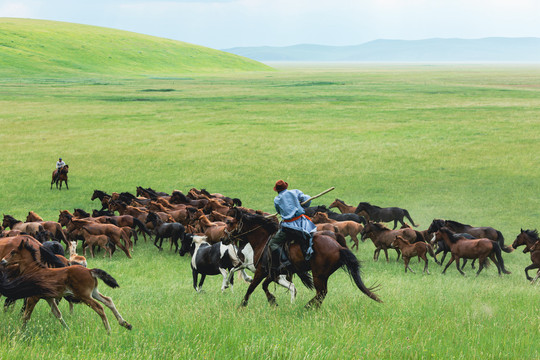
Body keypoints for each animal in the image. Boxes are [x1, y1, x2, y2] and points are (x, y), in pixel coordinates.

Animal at [0, 238, 132, 334]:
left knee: (99, 308)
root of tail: (90, 270)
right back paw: (125, 324)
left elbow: (26, 316)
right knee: (108, 301)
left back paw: (109, 331)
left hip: (84, 295)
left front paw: (20, 332)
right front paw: (67, 330)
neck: (34, 270)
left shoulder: (33, 297)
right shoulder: (48, 298)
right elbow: (57, 314)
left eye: (13, 252)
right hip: (93, 292)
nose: (2, 261)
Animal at [226, 208, 382, 310]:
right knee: (322, 294)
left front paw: (242, 305)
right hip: (323, 275)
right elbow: (264, 286)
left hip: (319, 275)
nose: (224, 237)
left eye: (230, 223)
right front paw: (273, 301)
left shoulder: (261, 271)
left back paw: (307, 307)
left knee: (321, 293)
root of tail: (338, 247)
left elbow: (251, 288)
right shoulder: (273, 272)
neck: (263, 241)